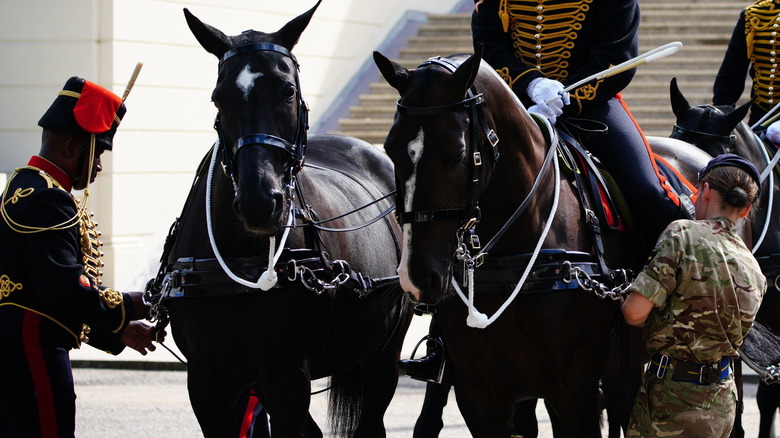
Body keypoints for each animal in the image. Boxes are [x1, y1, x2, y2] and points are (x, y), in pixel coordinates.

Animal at [148, 2, 414, 434]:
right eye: (218, 97)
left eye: (288, 90)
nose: (259, 202)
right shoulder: (207, 383)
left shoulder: (287, 377)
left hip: (383, 356)